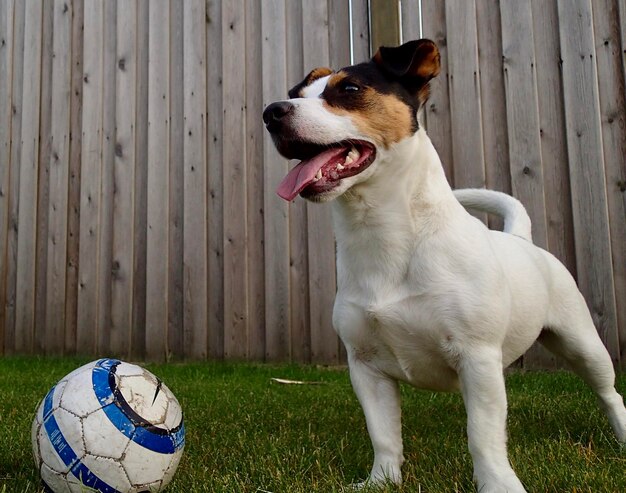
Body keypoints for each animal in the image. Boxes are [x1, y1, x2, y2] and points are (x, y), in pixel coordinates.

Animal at [260, 40, 624, 490]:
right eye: (296, 93)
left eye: (350, 89)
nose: (273, 111)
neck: (386, 237)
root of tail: (522, 239)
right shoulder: (365, 367)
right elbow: (384, 433)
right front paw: (382, 481)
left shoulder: (477, 358)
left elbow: (482, 434)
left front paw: (498, 484)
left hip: (581, 342)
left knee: (609, 392)